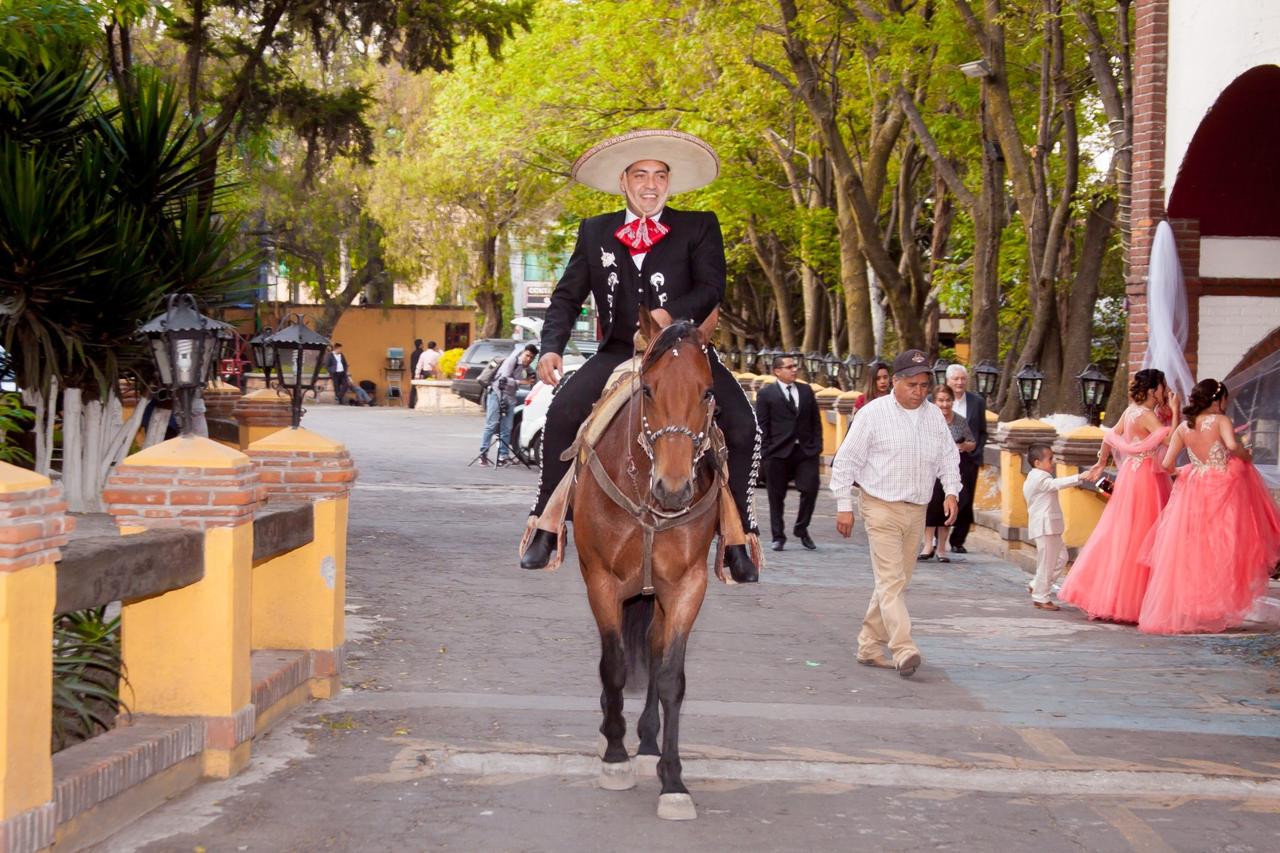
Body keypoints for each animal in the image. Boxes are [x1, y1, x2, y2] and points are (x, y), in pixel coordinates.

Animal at [576, 306, 727, 819]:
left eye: (707, 391)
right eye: (648, 391)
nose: (675, 488)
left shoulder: (686, 587)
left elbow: (669, 676)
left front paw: (672, 779)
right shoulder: (601, 581)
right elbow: (614, 664)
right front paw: (614, 755)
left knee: (655, 647)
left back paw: (645, 743)